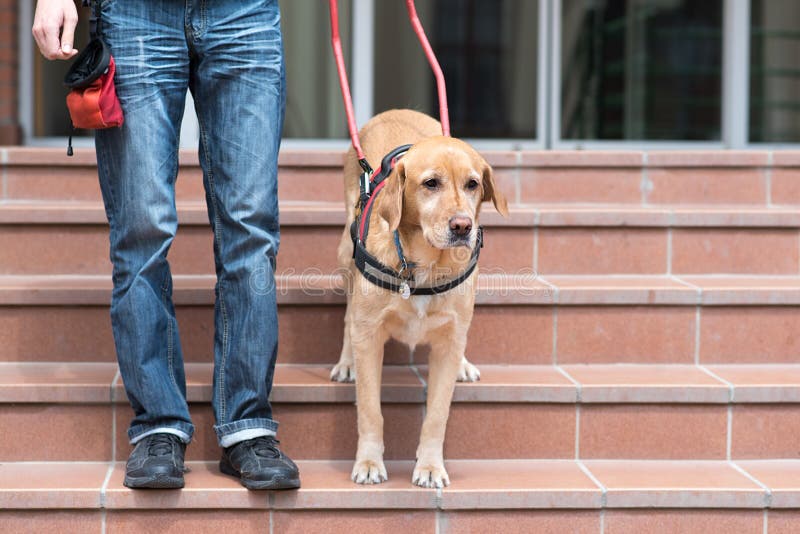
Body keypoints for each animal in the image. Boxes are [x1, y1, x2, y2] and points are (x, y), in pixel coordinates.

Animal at [330, 109, 506, 490]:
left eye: (472, 184)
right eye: (431, 184)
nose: (462, 226)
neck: (426, 264)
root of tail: (395, 111)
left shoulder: (448, 345)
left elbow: (437, 415)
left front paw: (430, 466)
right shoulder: (370, 337)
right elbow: (370, 410)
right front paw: (369, 462)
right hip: (346, 253)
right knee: (349, 315)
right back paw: (346, 361)